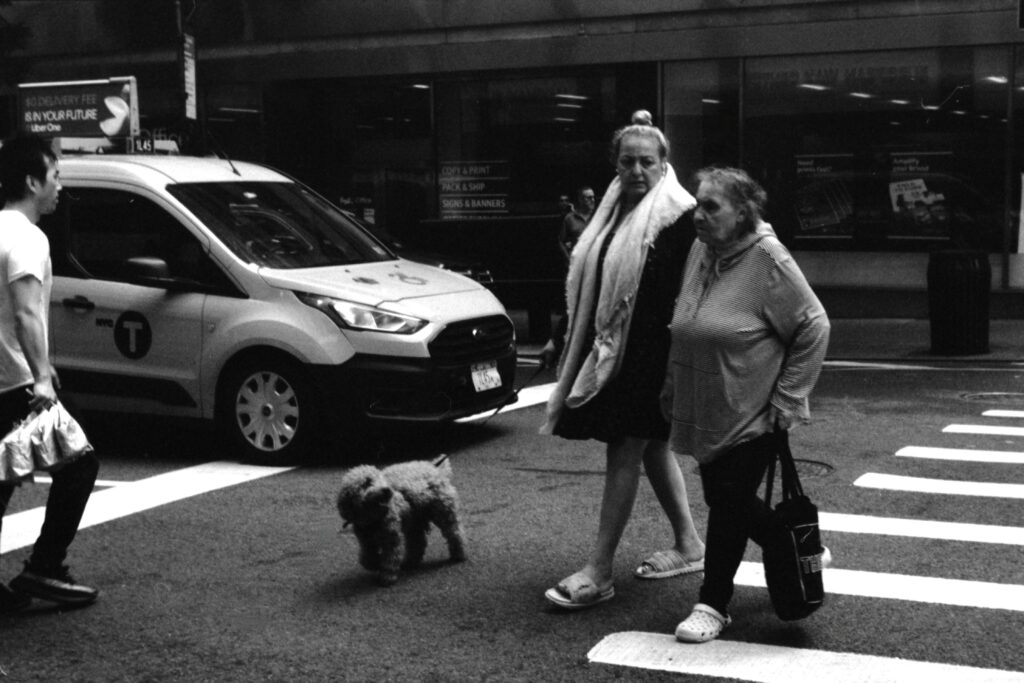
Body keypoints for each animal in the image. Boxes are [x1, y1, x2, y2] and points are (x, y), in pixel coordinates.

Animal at [337, 456, 466, 585]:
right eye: (366, 482)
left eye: (382, 479)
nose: (387, 490)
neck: (373, 518)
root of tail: (434, 468)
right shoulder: (366, 541)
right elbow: (366, 558)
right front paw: (375, 564)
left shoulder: (391, 537)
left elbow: (391, 557)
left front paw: (388, 576)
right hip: (415, 520)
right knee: (418, 542)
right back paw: (410, 562)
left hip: (443, 512)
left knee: (454, 533)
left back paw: (458, 554)